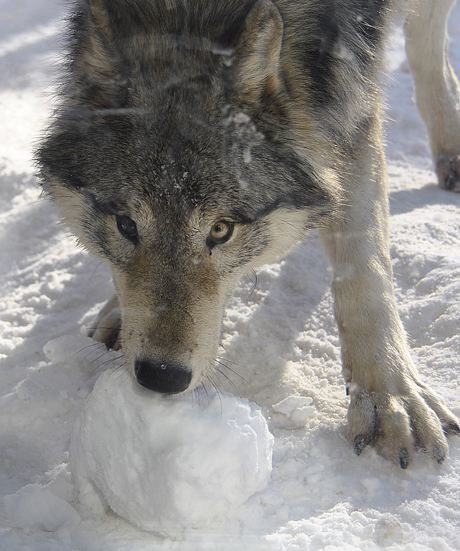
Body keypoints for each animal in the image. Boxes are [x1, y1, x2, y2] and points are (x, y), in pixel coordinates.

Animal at [36, 0, 460, 470]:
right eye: (126, 225)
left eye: (221, 229)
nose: (161, 377)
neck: (189, 14)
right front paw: (117, 311)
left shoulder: (350, 96)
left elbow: (364, 265)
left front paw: (389, 398)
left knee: (429, 40)